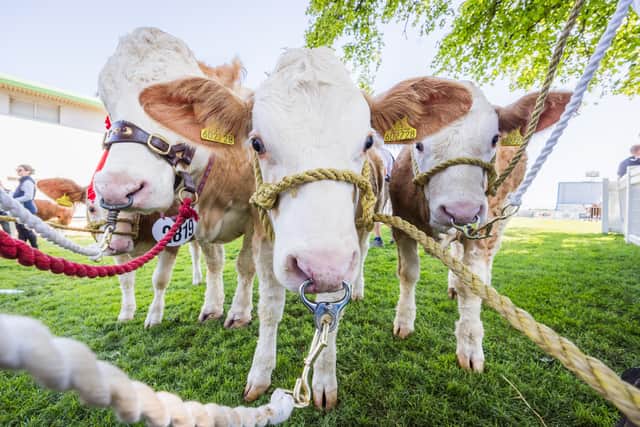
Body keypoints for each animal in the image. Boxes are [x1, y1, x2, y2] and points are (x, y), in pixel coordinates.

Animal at [386, 82, 571, 372]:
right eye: (419, 143)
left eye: (495, 139)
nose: (461, 210)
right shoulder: (402, 224)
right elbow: (408, 273)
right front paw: (404, 322)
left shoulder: (482, 229)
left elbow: (471, 285)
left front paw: (471, 347)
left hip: (502, 217)